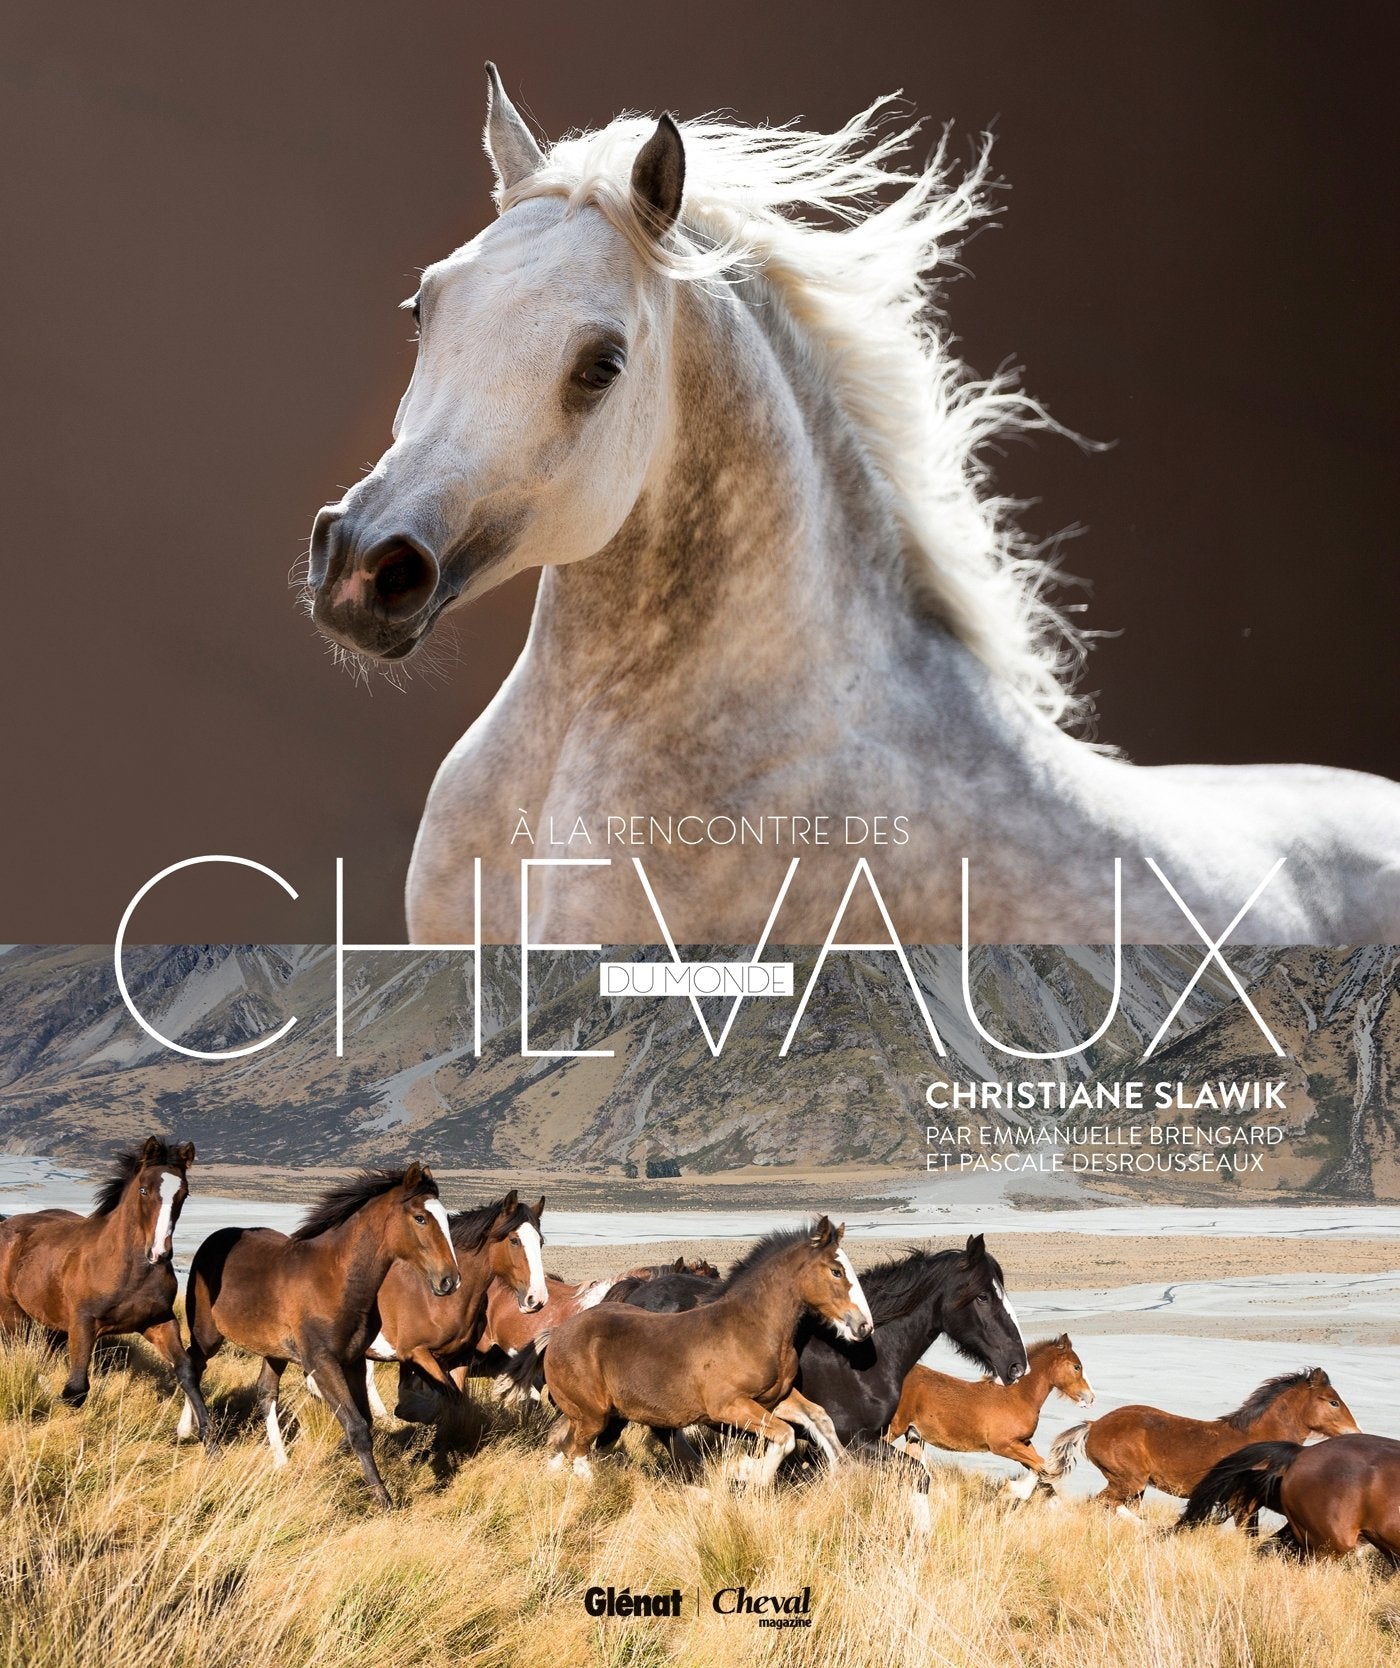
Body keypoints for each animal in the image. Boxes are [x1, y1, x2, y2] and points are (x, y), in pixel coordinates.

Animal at [0, 1139, 213, 1444]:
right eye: (143, 1190)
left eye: (183, 1194)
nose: (159, 1253)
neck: (127, 1271)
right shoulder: (83, 1324)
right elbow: (76, 1390)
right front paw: (54, 1398)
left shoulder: (158, 1322)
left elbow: (186, 1370)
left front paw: (203, 1435)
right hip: (13, 1316)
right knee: (23, 1354)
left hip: (51, 1323)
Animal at [183, 1164, 459, 1507]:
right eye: (420, 1218)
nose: (450, 1280)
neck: (336, 1279)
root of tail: (213, 1239)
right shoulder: (322, 1361)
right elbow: (357, 1426)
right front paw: (383, 1499)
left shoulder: (352, 1361)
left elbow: (364, 1420)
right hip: (207, 1333)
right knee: (189, 1368)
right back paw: (207, 1442)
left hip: (273, 1351)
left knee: (264, 1392)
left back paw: (280, 1462)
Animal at [539, 1217, 871, 1482]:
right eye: (836, 1271)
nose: (863, 1326)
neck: (751, 1330)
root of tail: (556, 1335)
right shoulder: (729, 1405)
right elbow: (786, 1436)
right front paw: (749, 1474)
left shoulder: (773, 1399)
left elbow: (819, 1417)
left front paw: (844, 1471)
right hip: (592, 1415)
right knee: (577, 1452)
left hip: (594, 1415)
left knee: (565, 1445)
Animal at [887, 1334, 1094, 1499]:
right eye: (1077, 1367)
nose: (1091, 1398)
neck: (1018, 1396)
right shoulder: (1002, 1445)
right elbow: (1044, 1466)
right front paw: (1011, 1491)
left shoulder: (1023, 1442)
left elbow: (1042, 1469)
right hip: (894, 1427)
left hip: (914, 1436)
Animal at [1044, 1367, 1360, 1521]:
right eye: (1333, 1402)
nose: (1354, 1431)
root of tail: (1093, 1426)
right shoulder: (1242, 1503)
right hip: (1127, 1483)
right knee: (1098, 1504)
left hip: (1134, 1488)